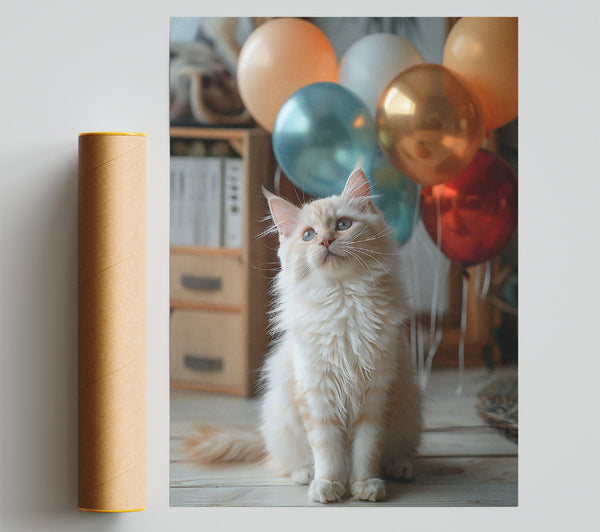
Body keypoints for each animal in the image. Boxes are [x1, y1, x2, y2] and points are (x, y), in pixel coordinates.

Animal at [184, 162, 422, 502]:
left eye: (343, 224)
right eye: (309, 235)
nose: (325, 241)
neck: (342, 300)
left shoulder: (377, 395)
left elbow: (366, 449)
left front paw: (365, 485)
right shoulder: (316, 394)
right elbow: (328, 450)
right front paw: (328, 484)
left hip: (409, 415)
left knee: (400, 451)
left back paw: (399, 467)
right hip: (282, 420)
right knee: (282, 462)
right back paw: (304, 474)